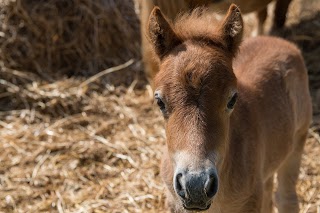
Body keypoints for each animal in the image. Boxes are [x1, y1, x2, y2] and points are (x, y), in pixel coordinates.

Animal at [148, 3, 312, 213]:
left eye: (232, 99)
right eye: (159, 101)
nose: (195, 186)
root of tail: (278, 41)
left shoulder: (249, 202)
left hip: (298, 140)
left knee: (286, 197)